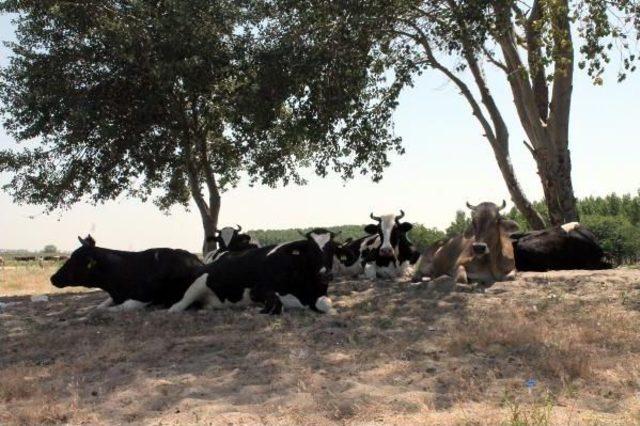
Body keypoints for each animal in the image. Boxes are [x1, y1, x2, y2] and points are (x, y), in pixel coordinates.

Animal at [170, 228, 340, 314]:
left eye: (332, 247)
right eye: (311, 249)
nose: (326, 274)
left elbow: (326, 304)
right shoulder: (257, 289)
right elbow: (277, 302)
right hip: (197, 285)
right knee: (176, 308)